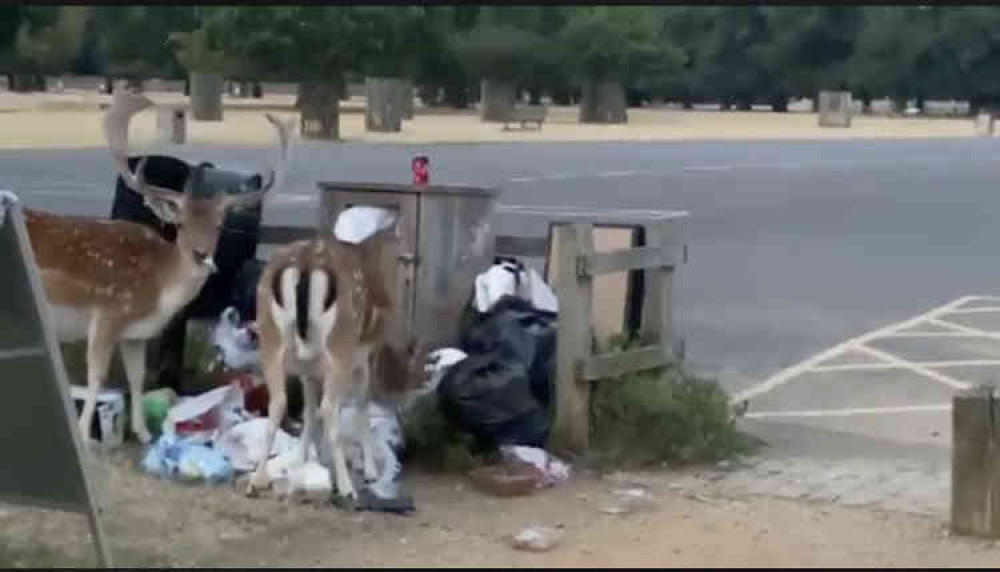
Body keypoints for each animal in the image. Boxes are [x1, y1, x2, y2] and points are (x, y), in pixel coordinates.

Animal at [17, 90, 292, 446]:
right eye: (181, 224)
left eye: (219, 225)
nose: (201, 253)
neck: (158, 287)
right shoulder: (109, 312)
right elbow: (96, 376)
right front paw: (85, 435)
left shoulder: (135, 333)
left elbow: (136, 377)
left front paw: (145, 433)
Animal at [248, 223, 408, 500]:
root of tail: (304, 264)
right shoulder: (367, 354)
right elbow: (362, 407)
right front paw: (370, 471)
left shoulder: (309, 368)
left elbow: (308, 411)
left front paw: (302, 462)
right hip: (340, 343)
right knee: (330, 408)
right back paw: (346, 487)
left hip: (269, 336)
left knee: (278, 402)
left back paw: (257, 481)